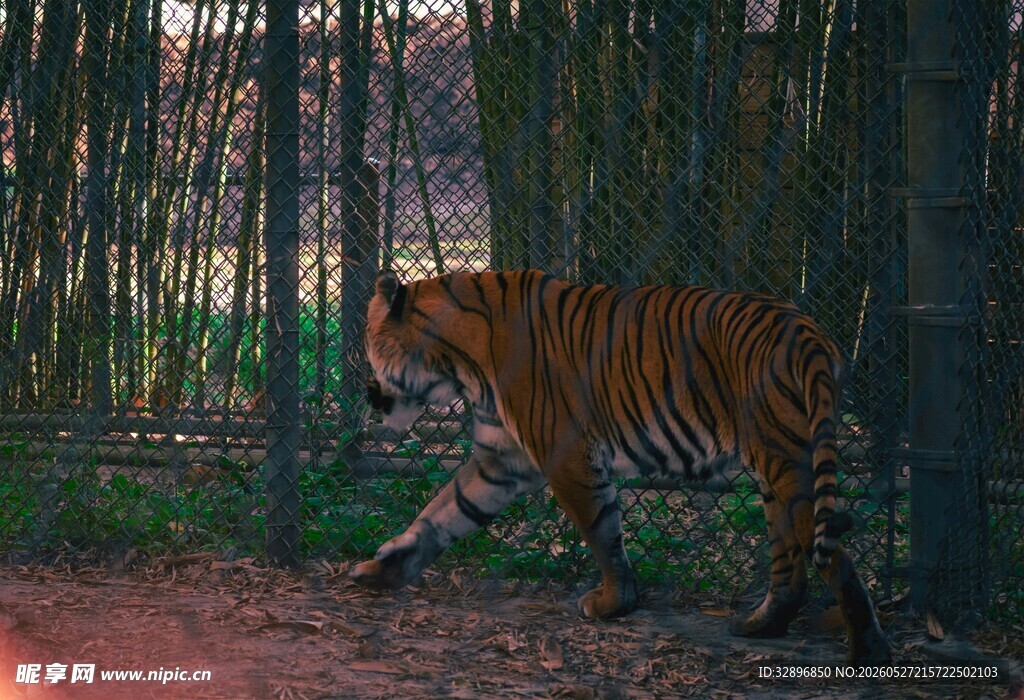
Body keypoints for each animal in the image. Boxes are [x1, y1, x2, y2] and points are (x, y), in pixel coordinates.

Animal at [350, 269, 891, 664]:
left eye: (369, 347)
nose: (369, 396)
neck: (454, 361)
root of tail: (808, 330)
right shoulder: (500, 460)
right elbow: (442, 513)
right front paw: (385, 569)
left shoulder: (565, 455)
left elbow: (601, 532)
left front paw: (613, 604)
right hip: (775, 467)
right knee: (790, 560)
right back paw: (761, 625)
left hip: (786, 461)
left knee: (830, 556)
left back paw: (867, 650)